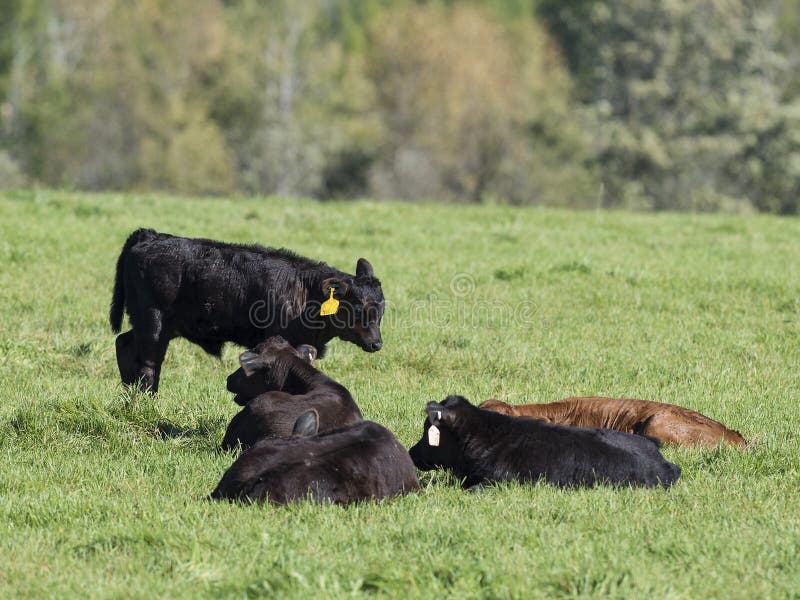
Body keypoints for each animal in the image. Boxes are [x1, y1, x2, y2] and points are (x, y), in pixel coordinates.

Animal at [109, 228, 384, 392]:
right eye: (357, 308)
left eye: (381, 309)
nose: (376, 343)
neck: (306, 292)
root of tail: (151, 236)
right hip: (153, 323)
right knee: (148, 363)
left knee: (124, 344)